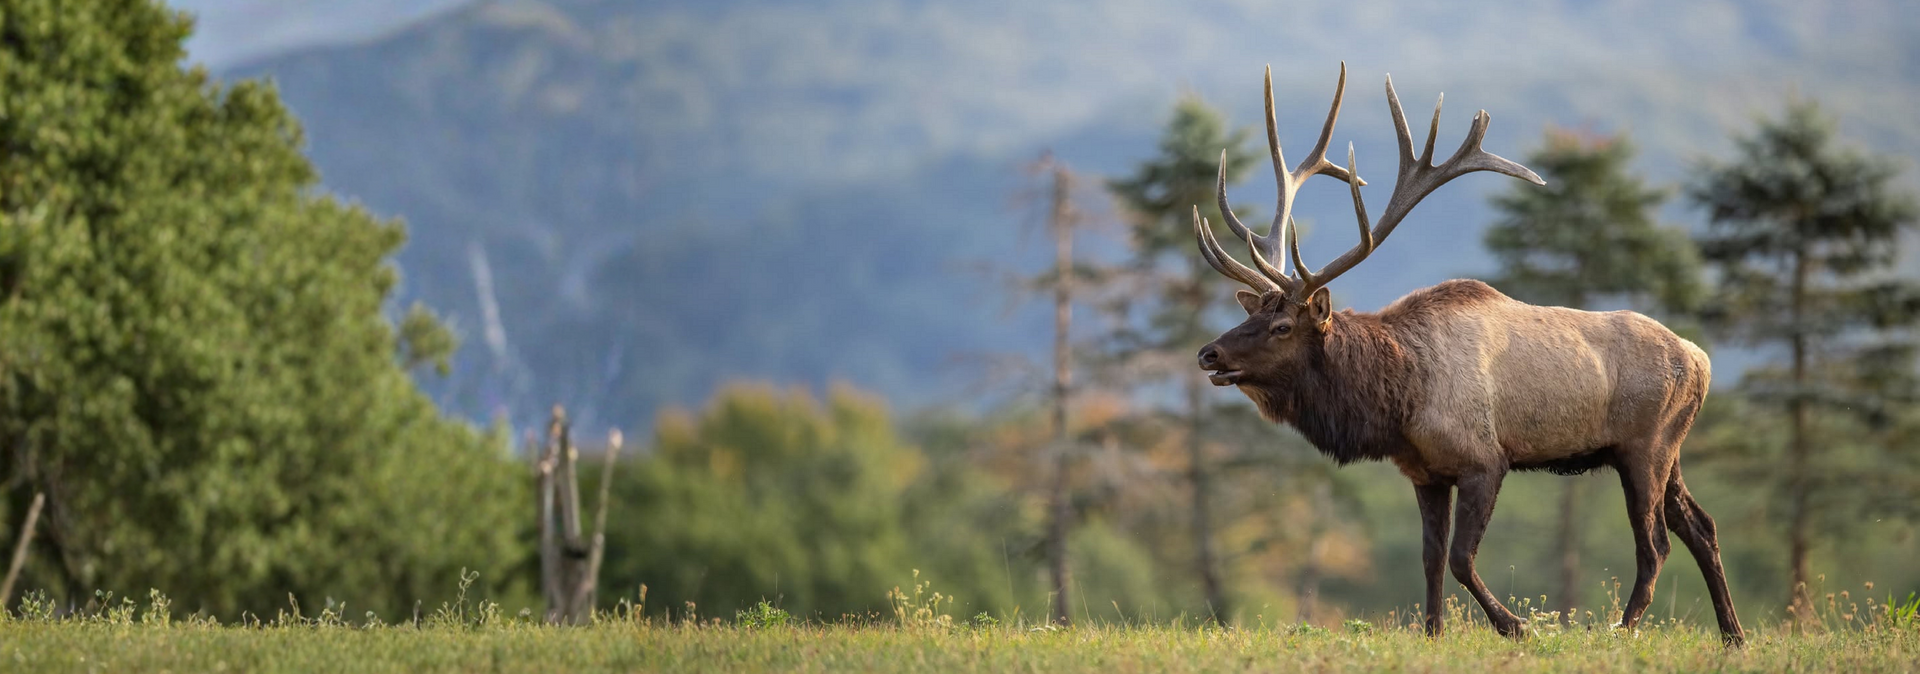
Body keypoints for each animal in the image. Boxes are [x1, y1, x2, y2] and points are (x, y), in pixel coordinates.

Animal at [1189, 64, 1745, 646]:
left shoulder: (1484, 459)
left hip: (1645, 446)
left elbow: (1460, 558)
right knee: (1701, 527)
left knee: (1655, 544)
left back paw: (1621, 627)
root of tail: (1701, 360)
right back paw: (1733, 634)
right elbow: (1431, 558)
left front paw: (1516, 626)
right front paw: (1433, 632)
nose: (1209, 353)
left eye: (1281, 326)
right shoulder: (1425, 472)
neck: (1399, 400)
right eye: (1252, 315)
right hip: (1667, 449)